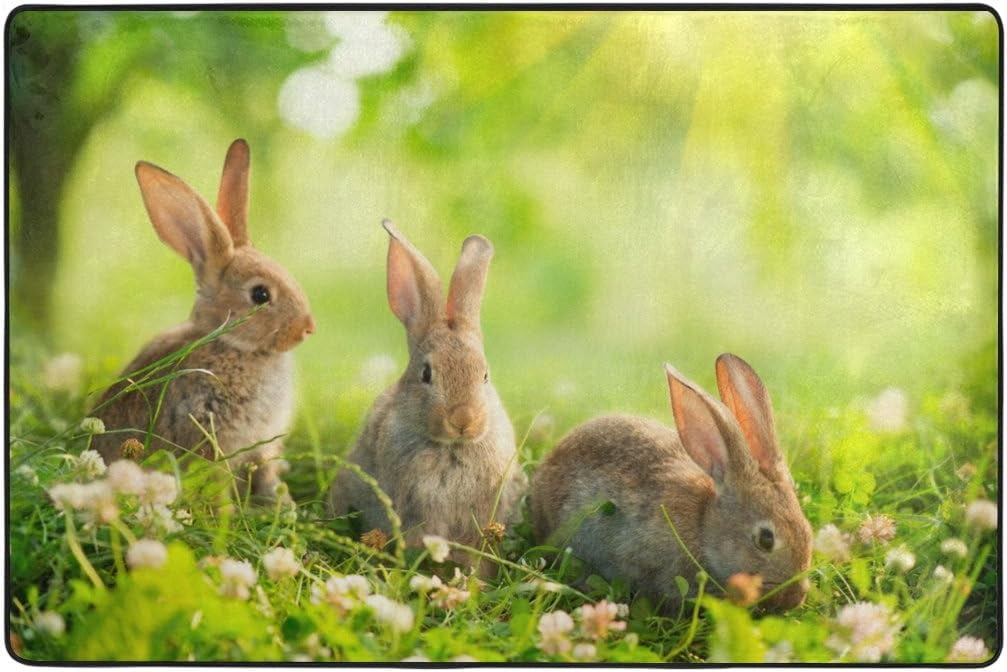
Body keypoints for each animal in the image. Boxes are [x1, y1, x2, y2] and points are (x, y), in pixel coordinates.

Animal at [91, 139, 315, 498]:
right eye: (260, 295)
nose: (308, 328)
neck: (230, 344)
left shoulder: (261, 447)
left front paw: (280, 502)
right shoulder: (207, 433)